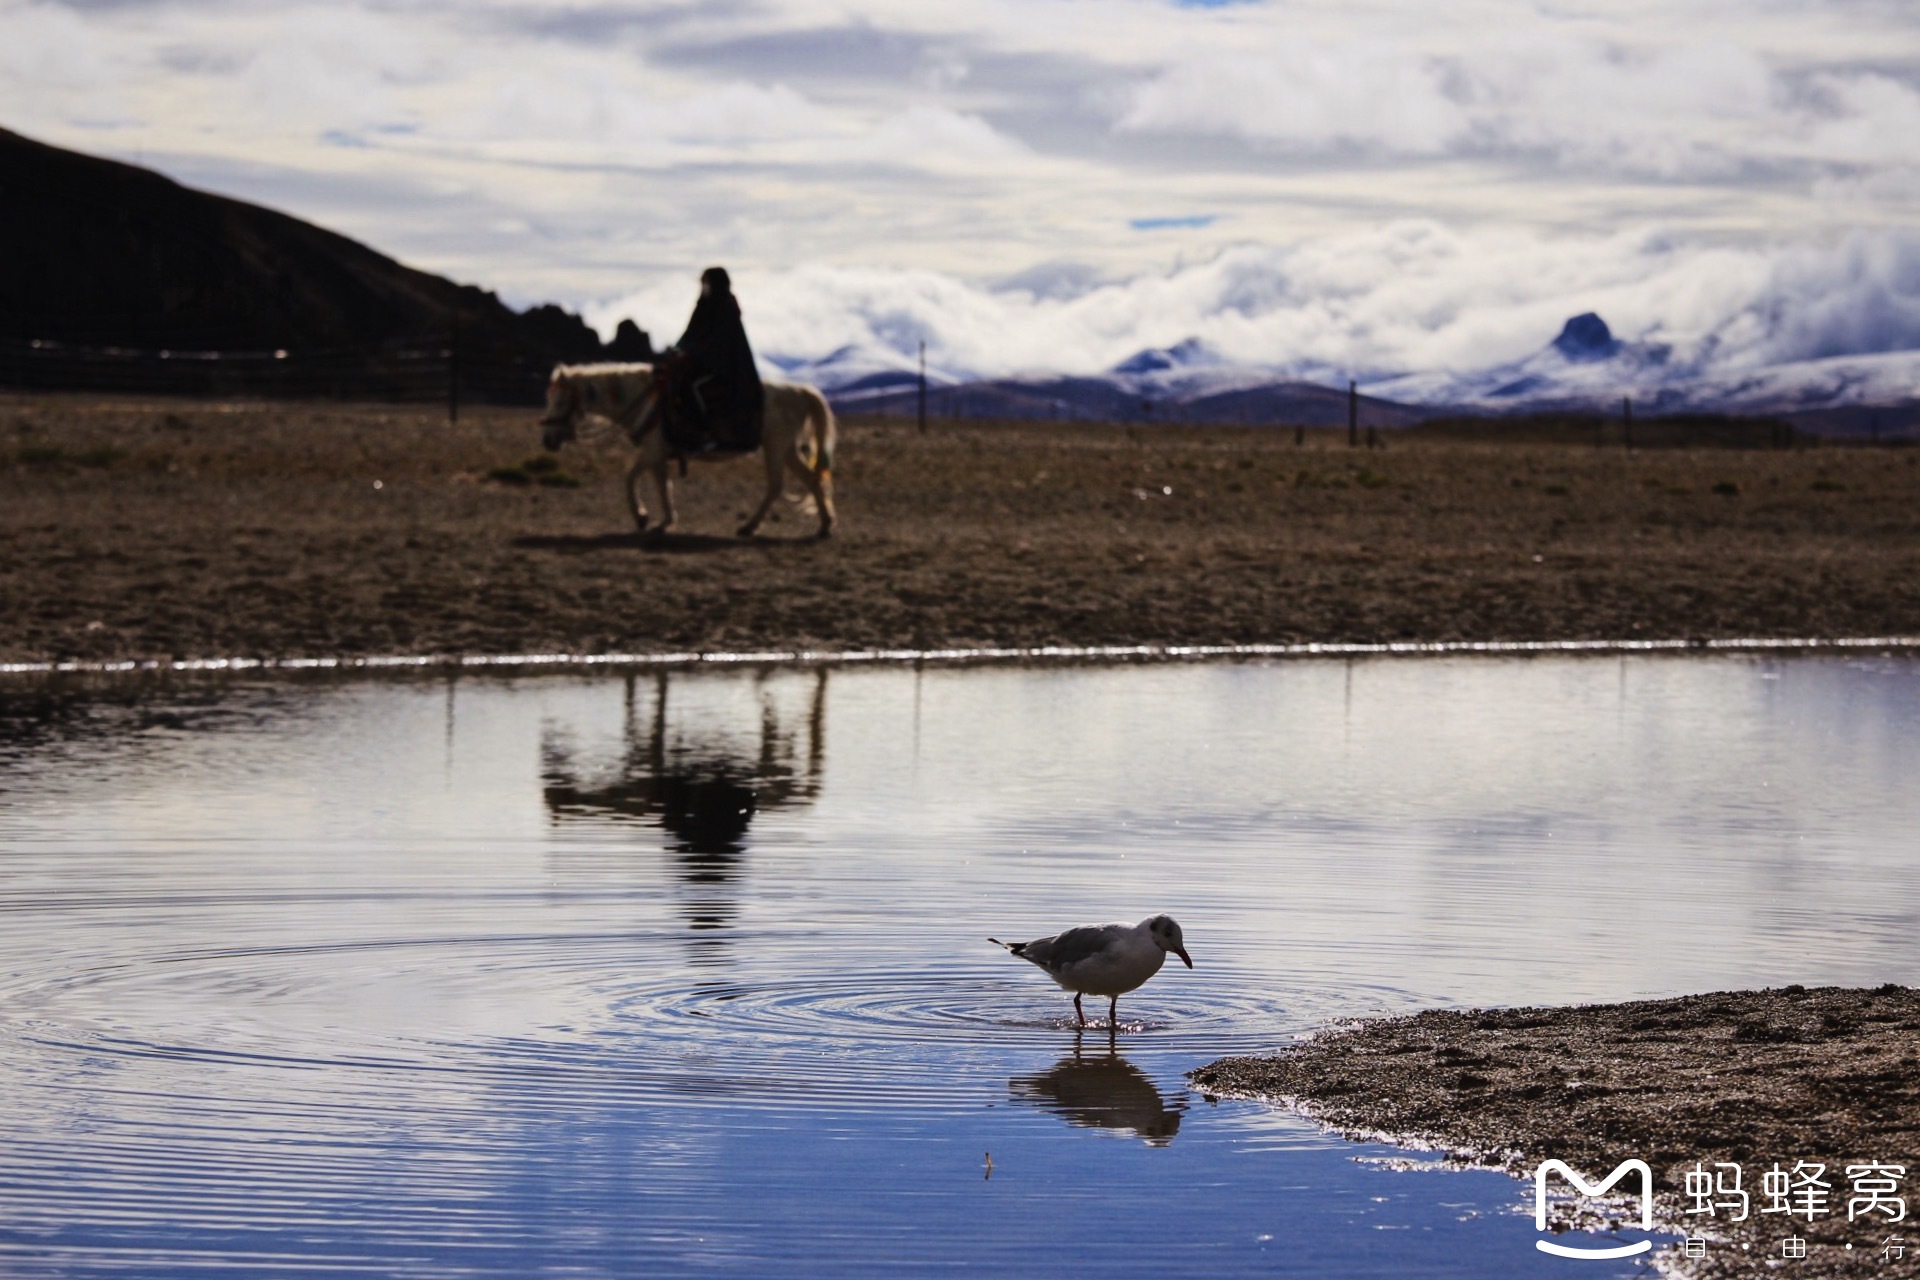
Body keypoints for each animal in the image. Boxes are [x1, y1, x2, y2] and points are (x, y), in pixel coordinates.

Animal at [541, 362, 840, 537]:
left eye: (559, 401)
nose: (547, 440)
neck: (645, 401)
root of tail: (801, 391)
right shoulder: (657, 454)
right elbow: (657, 483)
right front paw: (659, 520)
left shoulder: (652, 451)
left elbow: (634, 479)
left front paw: (646, 518)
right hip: (786, 449)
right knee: (811, 480)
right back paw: (824, 525)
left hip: (775, 447)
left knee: (776, 485)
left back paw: (749, 526)